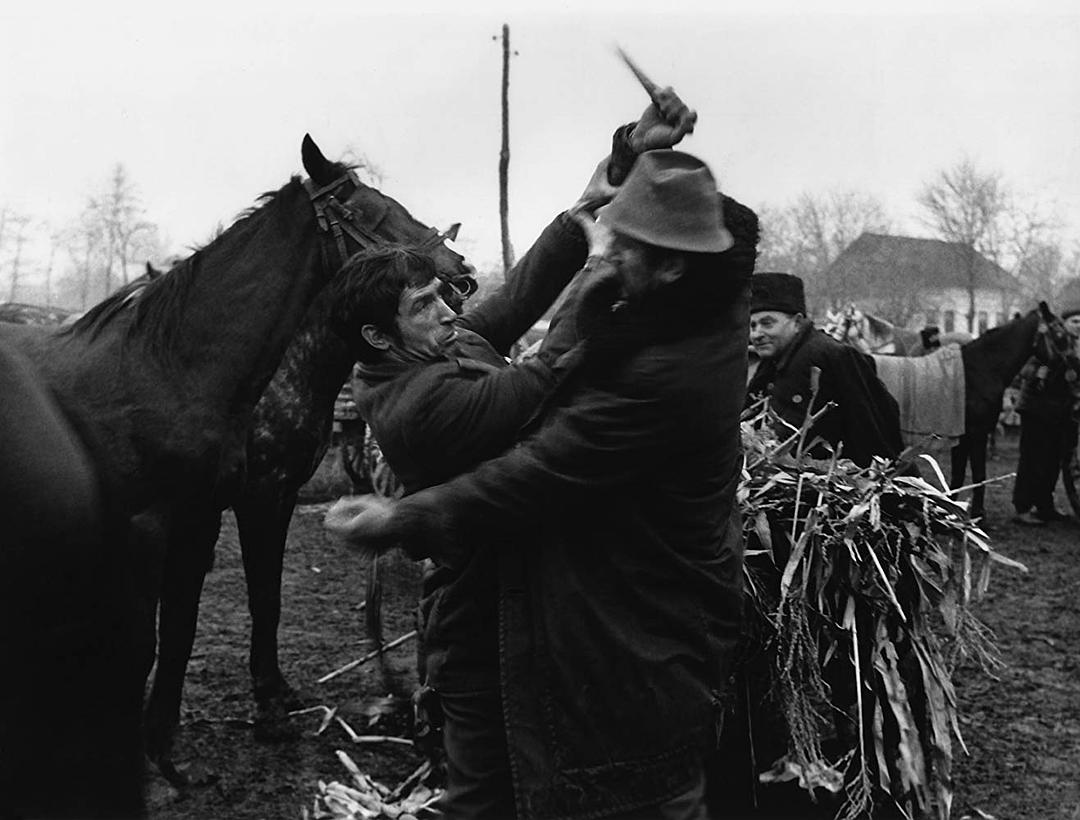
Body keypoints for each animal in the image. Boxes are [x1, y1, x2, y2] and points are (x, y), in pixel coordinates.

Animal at [0, 137, 460, 786]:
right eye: (367, 210)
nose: (461, 275)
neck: (171, 367)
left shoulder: (210, 514)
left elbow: (197, 622)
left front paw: (171, 745)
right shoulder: (186, 517)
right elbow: (152, 639)